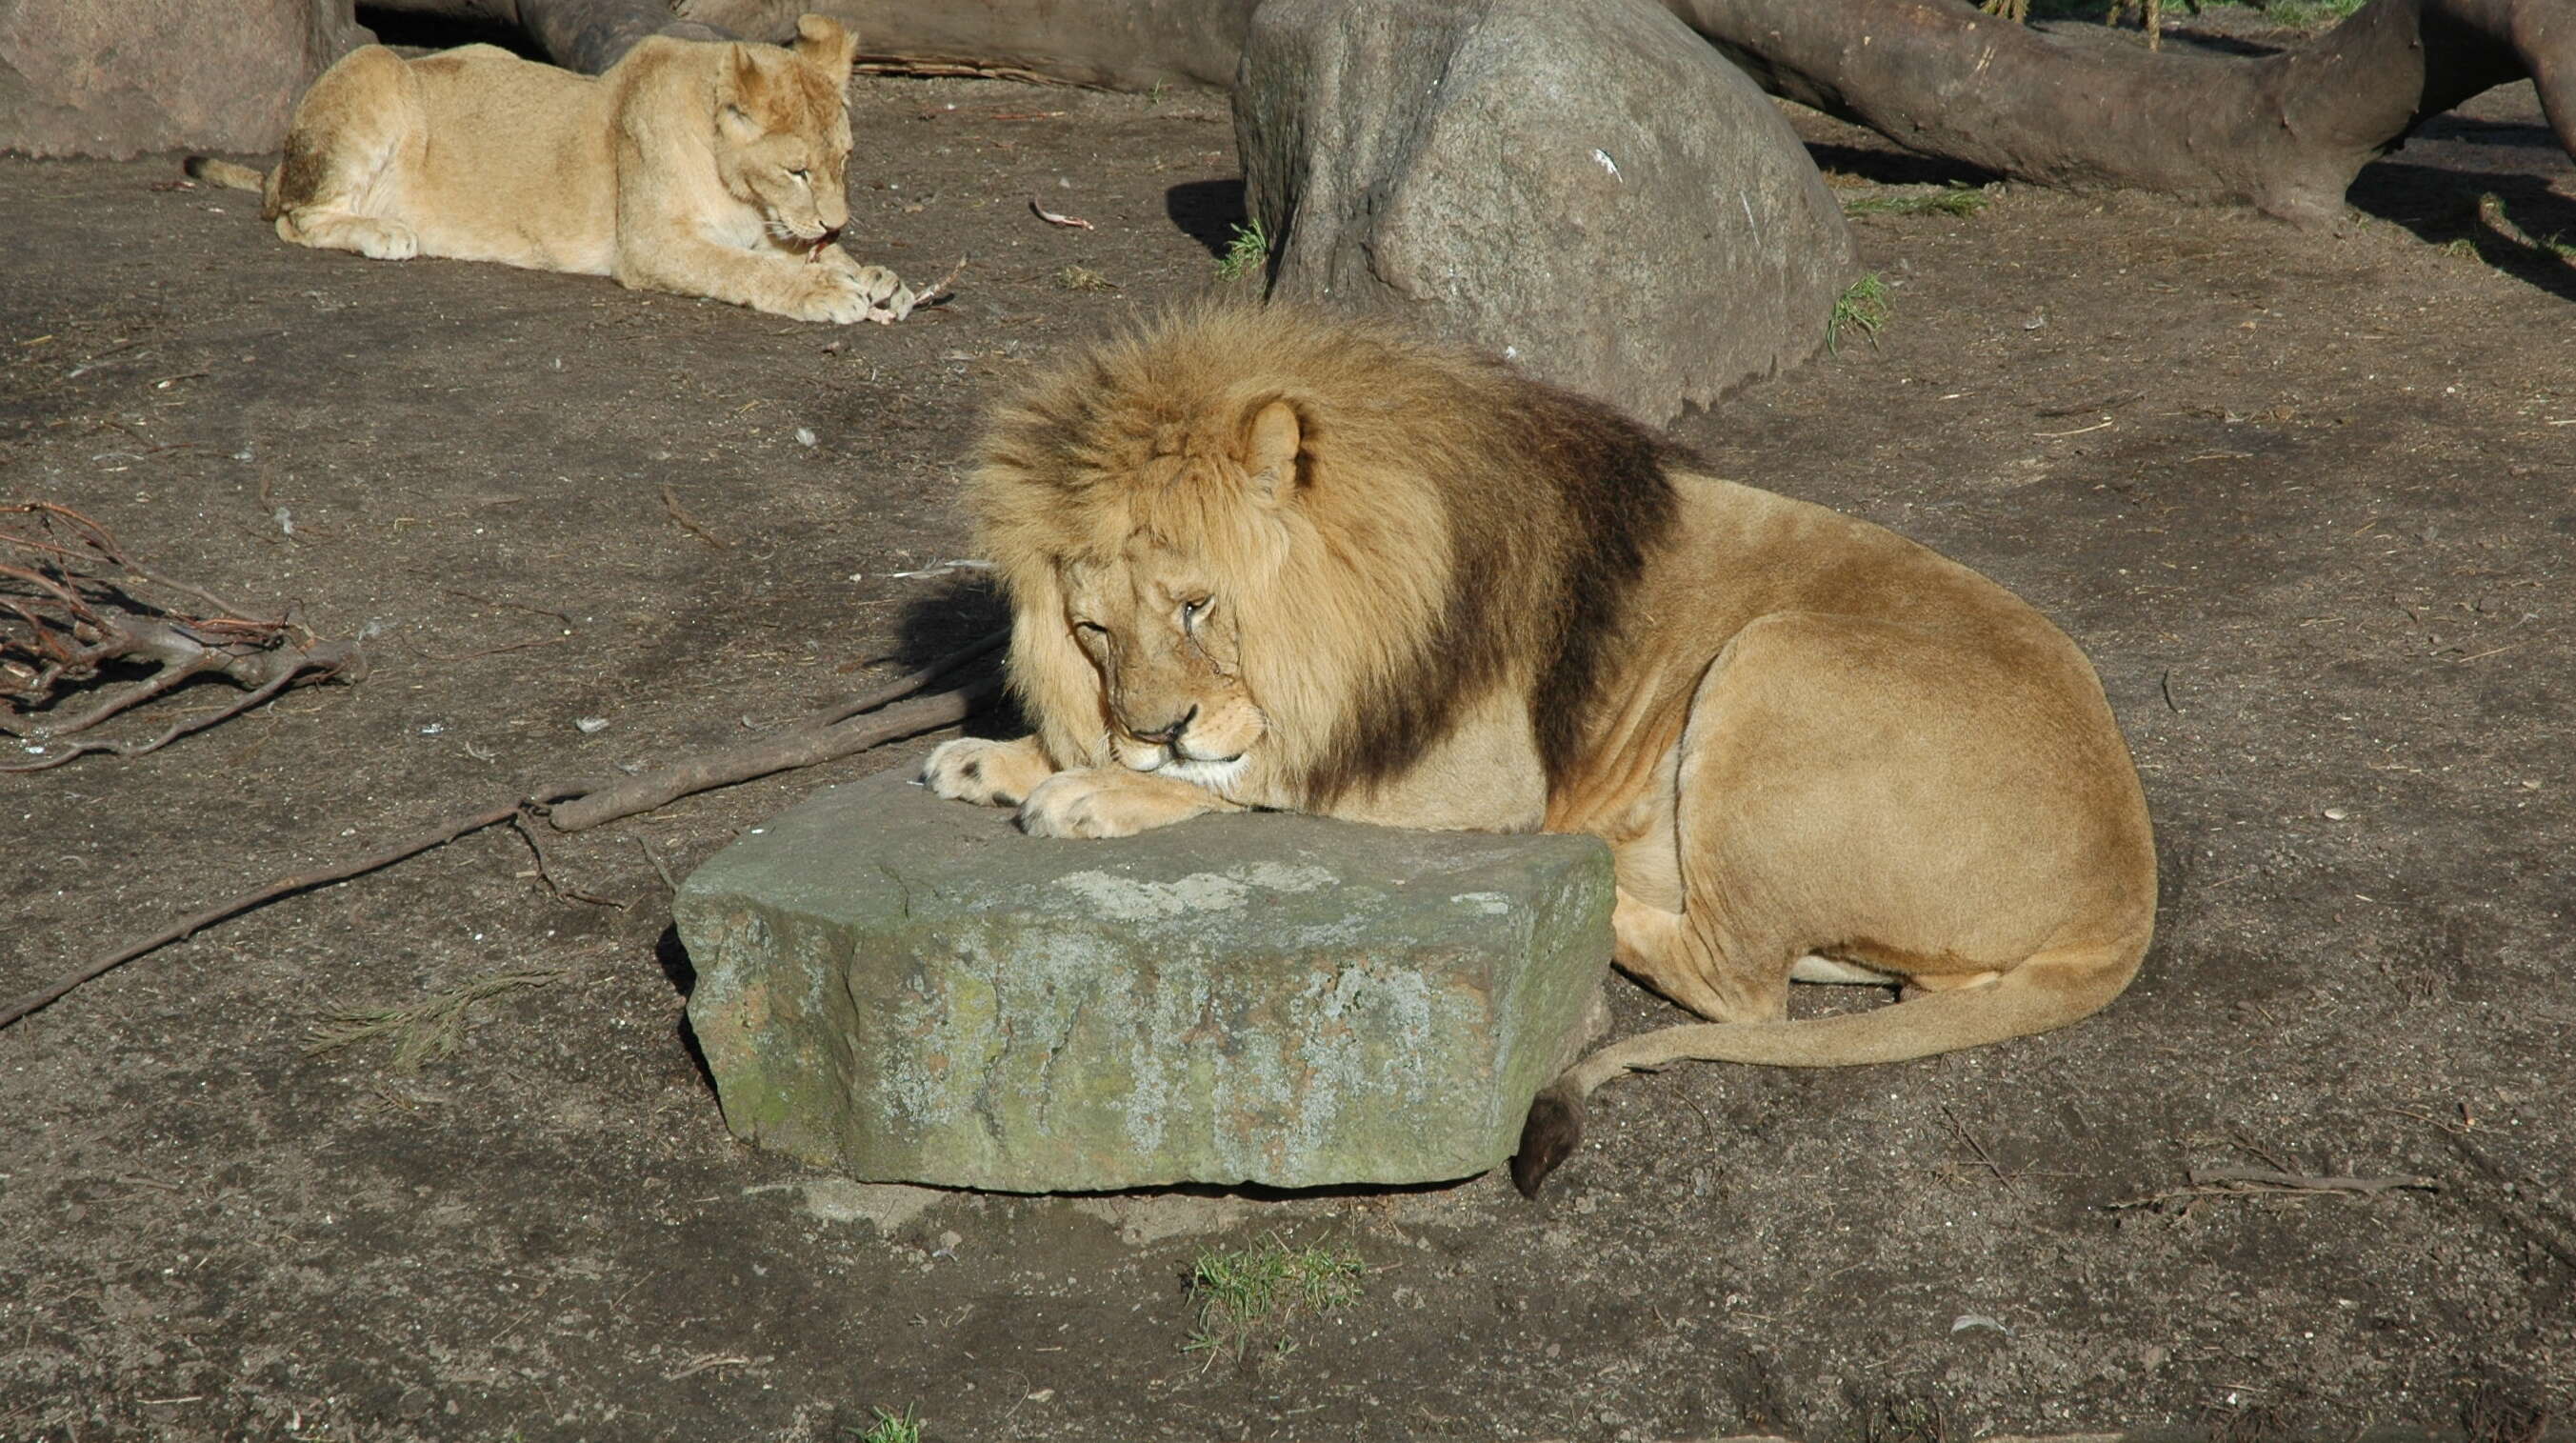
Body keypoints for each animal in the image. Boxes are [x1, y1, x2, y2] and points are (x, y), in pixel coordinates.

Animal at [188, 16, 916, 327]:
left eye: (845, 160)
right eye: (796, 170)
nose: (836, 223)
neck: (743, 196)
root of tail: (278, 167)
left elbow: (796, 253)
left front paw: (874, 274)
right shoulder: (651, 245)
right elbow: (744, 269)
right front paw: (824, 291)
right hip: (378, 68)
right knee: (293, 218)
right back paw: (383, 231)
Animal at [927, 304, 2153, 1195]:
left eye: (1195, 606)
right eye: (1093, 631)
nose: (1151, 727)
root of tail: (2124, 888)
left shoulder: (1475, 768)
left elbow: (1262, 774)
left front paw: (1091, 792)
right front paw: (997, 755)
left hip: (1773, 655)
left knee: (1741, 988)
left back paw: (1611, 887)